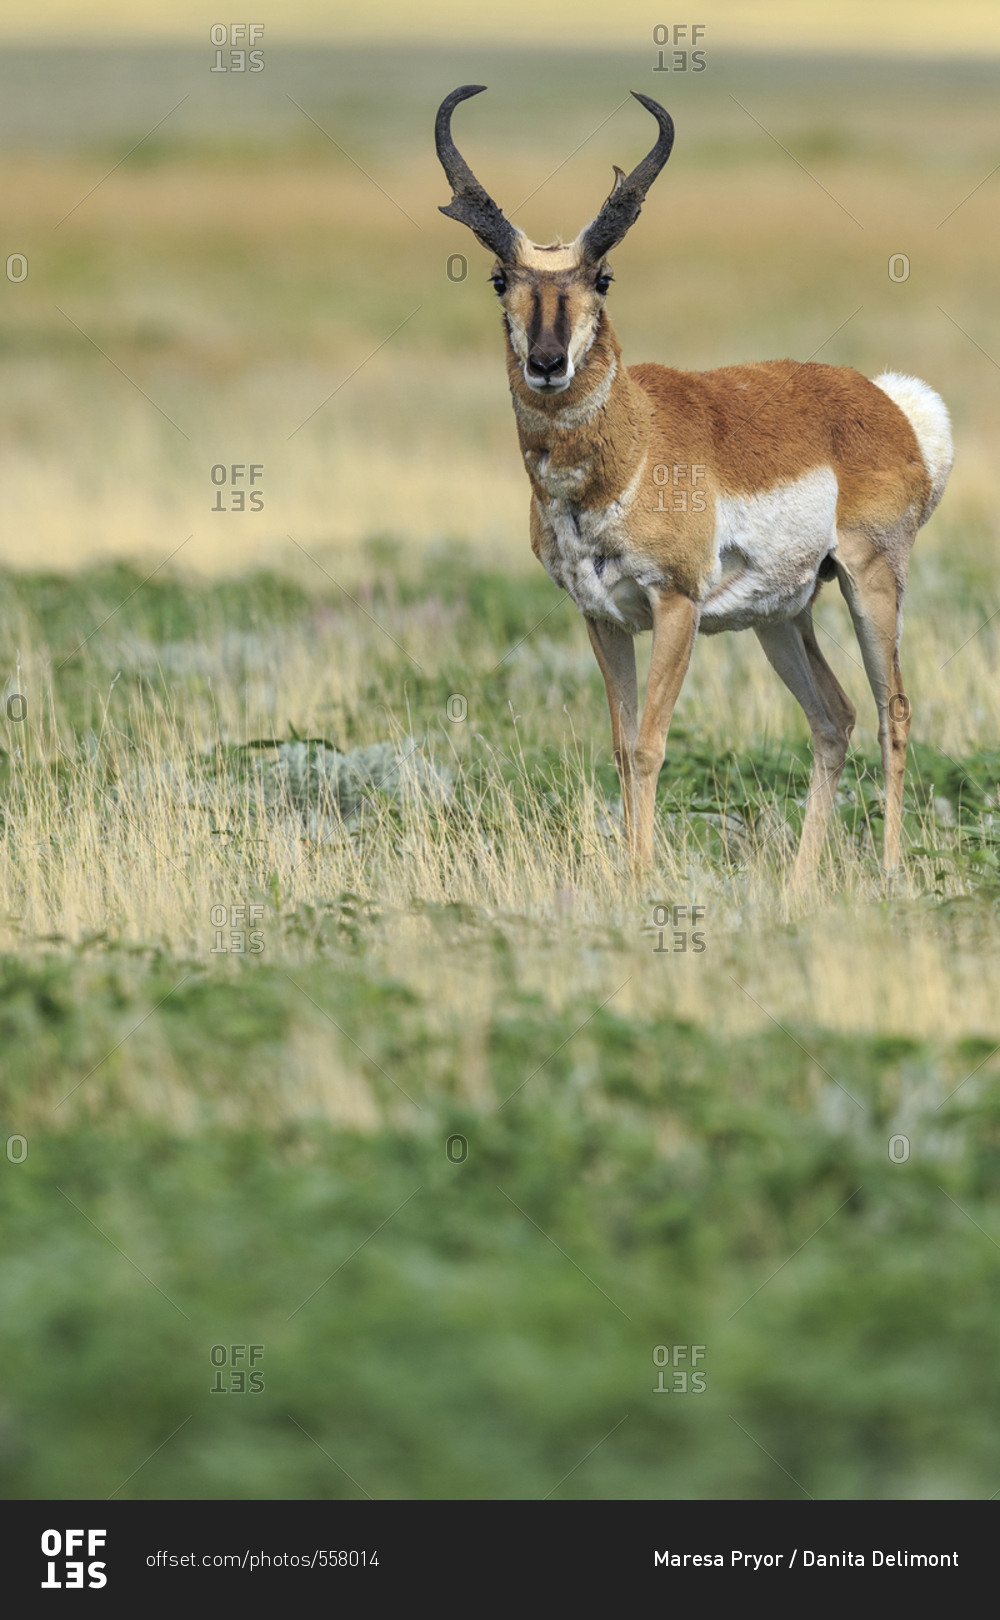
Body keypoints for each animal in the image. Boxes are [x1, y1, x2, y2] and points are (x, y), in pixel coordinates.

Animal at [437, 85, 952, 887]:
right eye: (501, 281)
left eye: (602, 278)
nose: (548, 363)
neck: (635, 443)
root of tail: (888, 403)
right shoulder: (604, 618)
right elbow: (622, 748)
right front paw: (626, 872)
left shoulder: (675, 607)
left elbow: (651, 746)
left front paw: (643, 876)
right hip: (781, 617)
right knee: (833, 716)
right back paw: (798, 884)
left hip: (869, 583)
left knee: (891, 709)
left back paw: (891, 872)